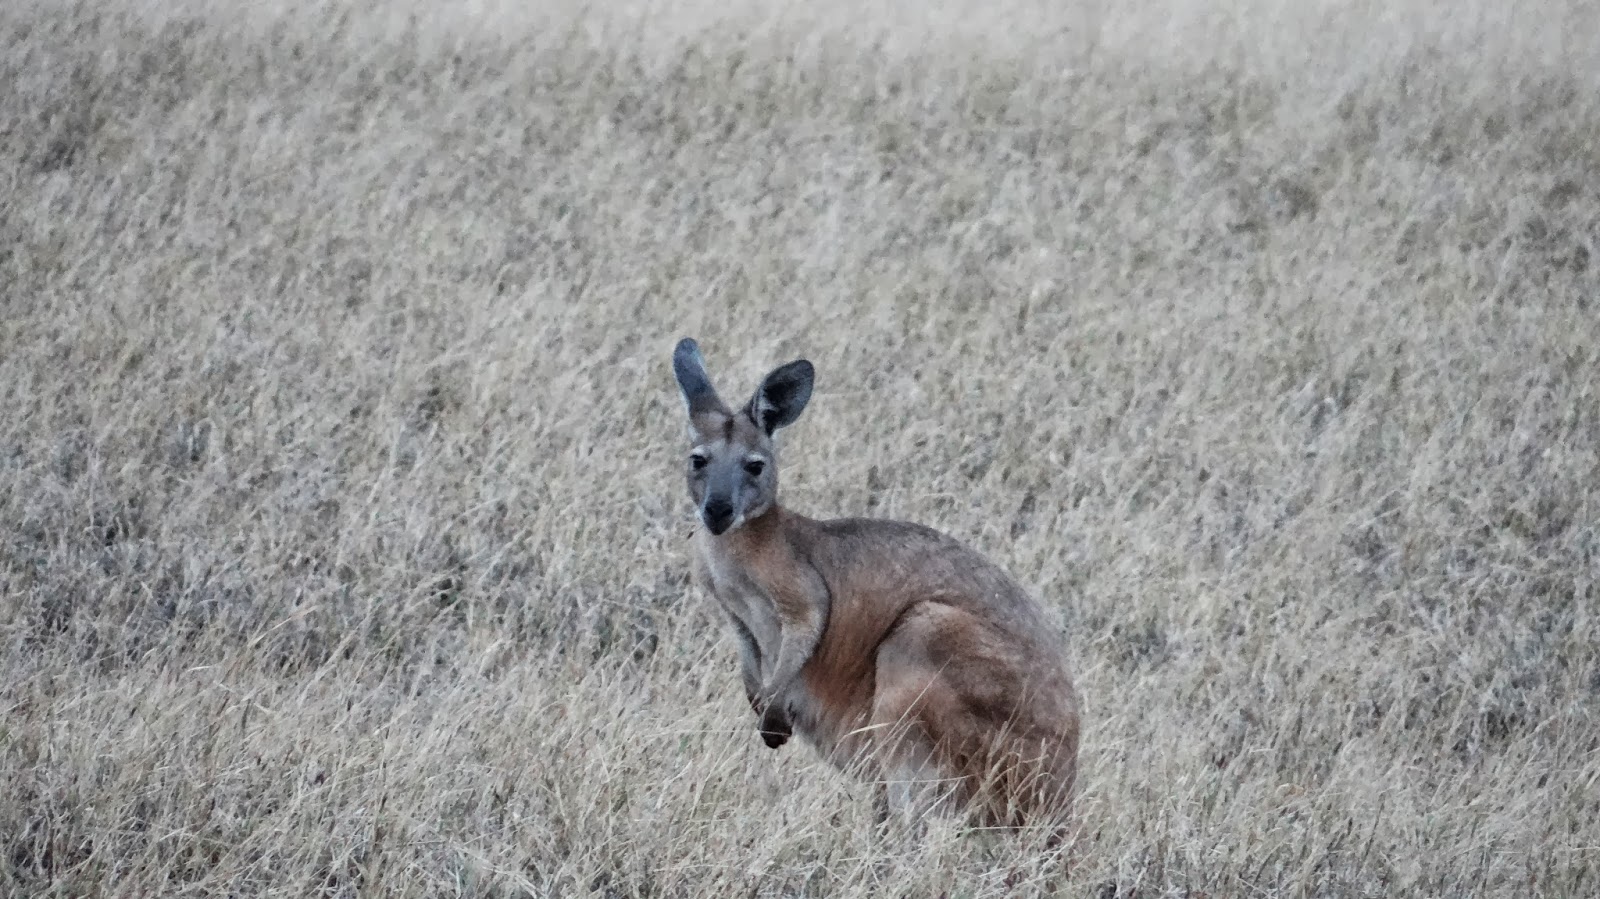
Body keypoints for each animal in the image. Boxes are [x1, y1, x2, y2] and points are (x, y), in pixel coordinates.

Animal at [671, 337, 1081, 838]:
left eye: (755, 466)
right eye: (698, 460)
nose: (716, 511)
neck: (744, 543)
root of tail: (1058, 811)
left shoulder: (802, 595)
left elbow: (805, 631)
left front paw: (772, 719)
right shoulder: (737, 619)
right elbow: (750, 663)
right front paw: (763, 709)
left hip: (926, 648)